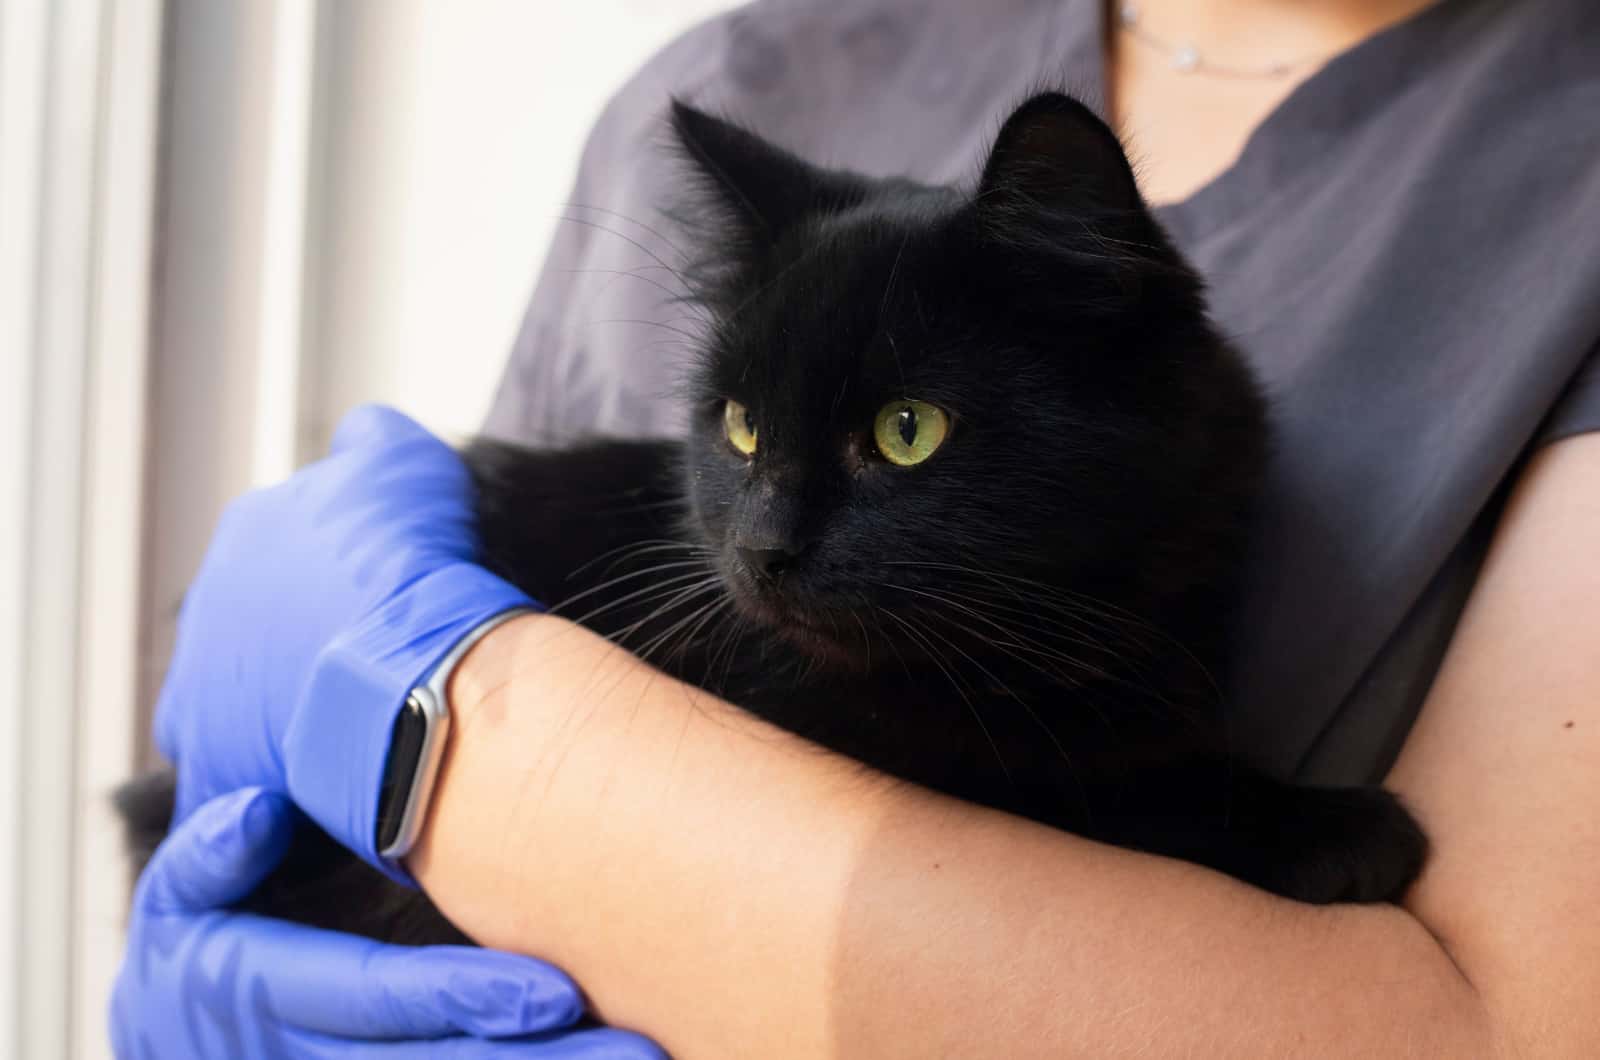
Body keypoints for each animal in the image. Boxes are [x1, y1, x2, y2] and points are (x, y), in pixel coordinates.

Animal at [121, 95, 1427, 947]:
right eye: (742, 427)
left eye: (907, 430)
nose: (761, 549)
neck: (1070, 636)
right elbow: (1084, 788)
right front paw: (1324, 823)